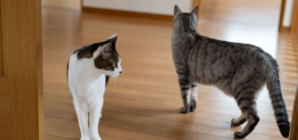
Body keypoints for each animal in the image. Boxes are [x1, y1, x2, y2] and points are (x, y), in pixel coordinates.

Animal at [171, 5, 290, 139]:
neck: (187, 31)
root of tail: (268, 57)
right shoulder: (193, 80)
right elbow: (193, 95)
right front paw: (192, 108)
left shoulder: (183, 75)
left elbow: (185, 96)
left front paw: (185, 109)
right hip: (248, 93)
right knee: (247, 113)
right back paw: (236, 122)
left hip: (241, 89)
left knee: (254, 117)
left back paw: (240, 134)